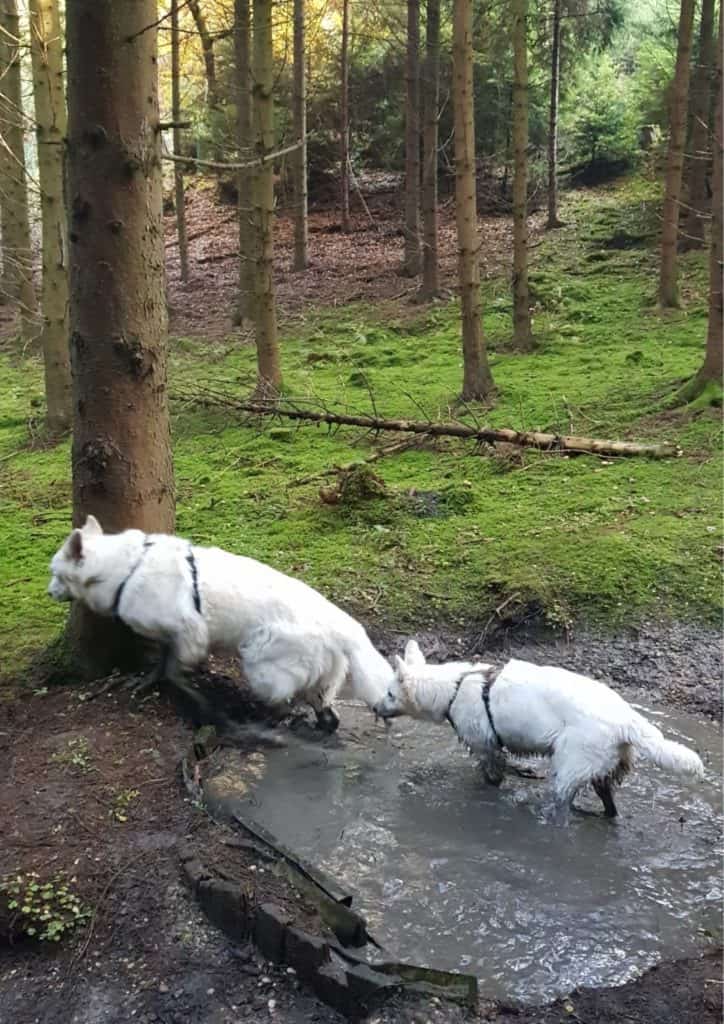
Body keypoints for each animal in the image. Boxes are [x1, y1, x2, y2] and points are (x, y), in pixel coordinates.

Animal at [49, 512, 397, 729]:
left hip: (261, 666)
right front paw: (149, 680)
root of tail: (344, 626)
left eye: (55, 573)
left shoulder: (189, 633)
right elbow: (162, 663)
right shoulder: (170, 638)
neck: (126, 569)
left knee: (289, 697)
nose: (48, 592)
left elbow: (175, 671)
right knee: (324, 707)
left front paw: (197, 700)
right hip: (317, 675)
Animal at [376, 638, 704, 823]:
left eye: (390, 694)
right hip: (604, 769)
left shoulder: (486, 745)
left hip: (570, 765)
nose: (376, 707)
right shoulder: (494, 748)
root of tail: (628, 720)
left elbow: (492, 775)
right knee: (609, 805)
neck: (454, 687)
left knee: (563, 803)